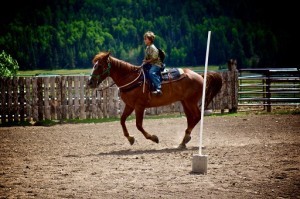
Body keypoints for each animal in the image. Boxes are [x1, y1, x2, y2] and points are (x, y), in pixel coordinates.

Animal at [87, 52, 223, 148]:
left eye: (99, 66)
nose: (90, 82)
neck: (131, 78)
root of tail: (200, 76)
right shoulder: (130, 105)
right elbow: (122, 120)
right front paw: (130, 139)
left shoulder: (139, 106)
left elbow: (138, 125)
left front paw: (153, 138)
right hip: (185, 102)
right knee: (191, 118)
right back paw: (184, 141)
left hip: (191, 101)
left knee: (197, 116)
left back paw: (185, 139)